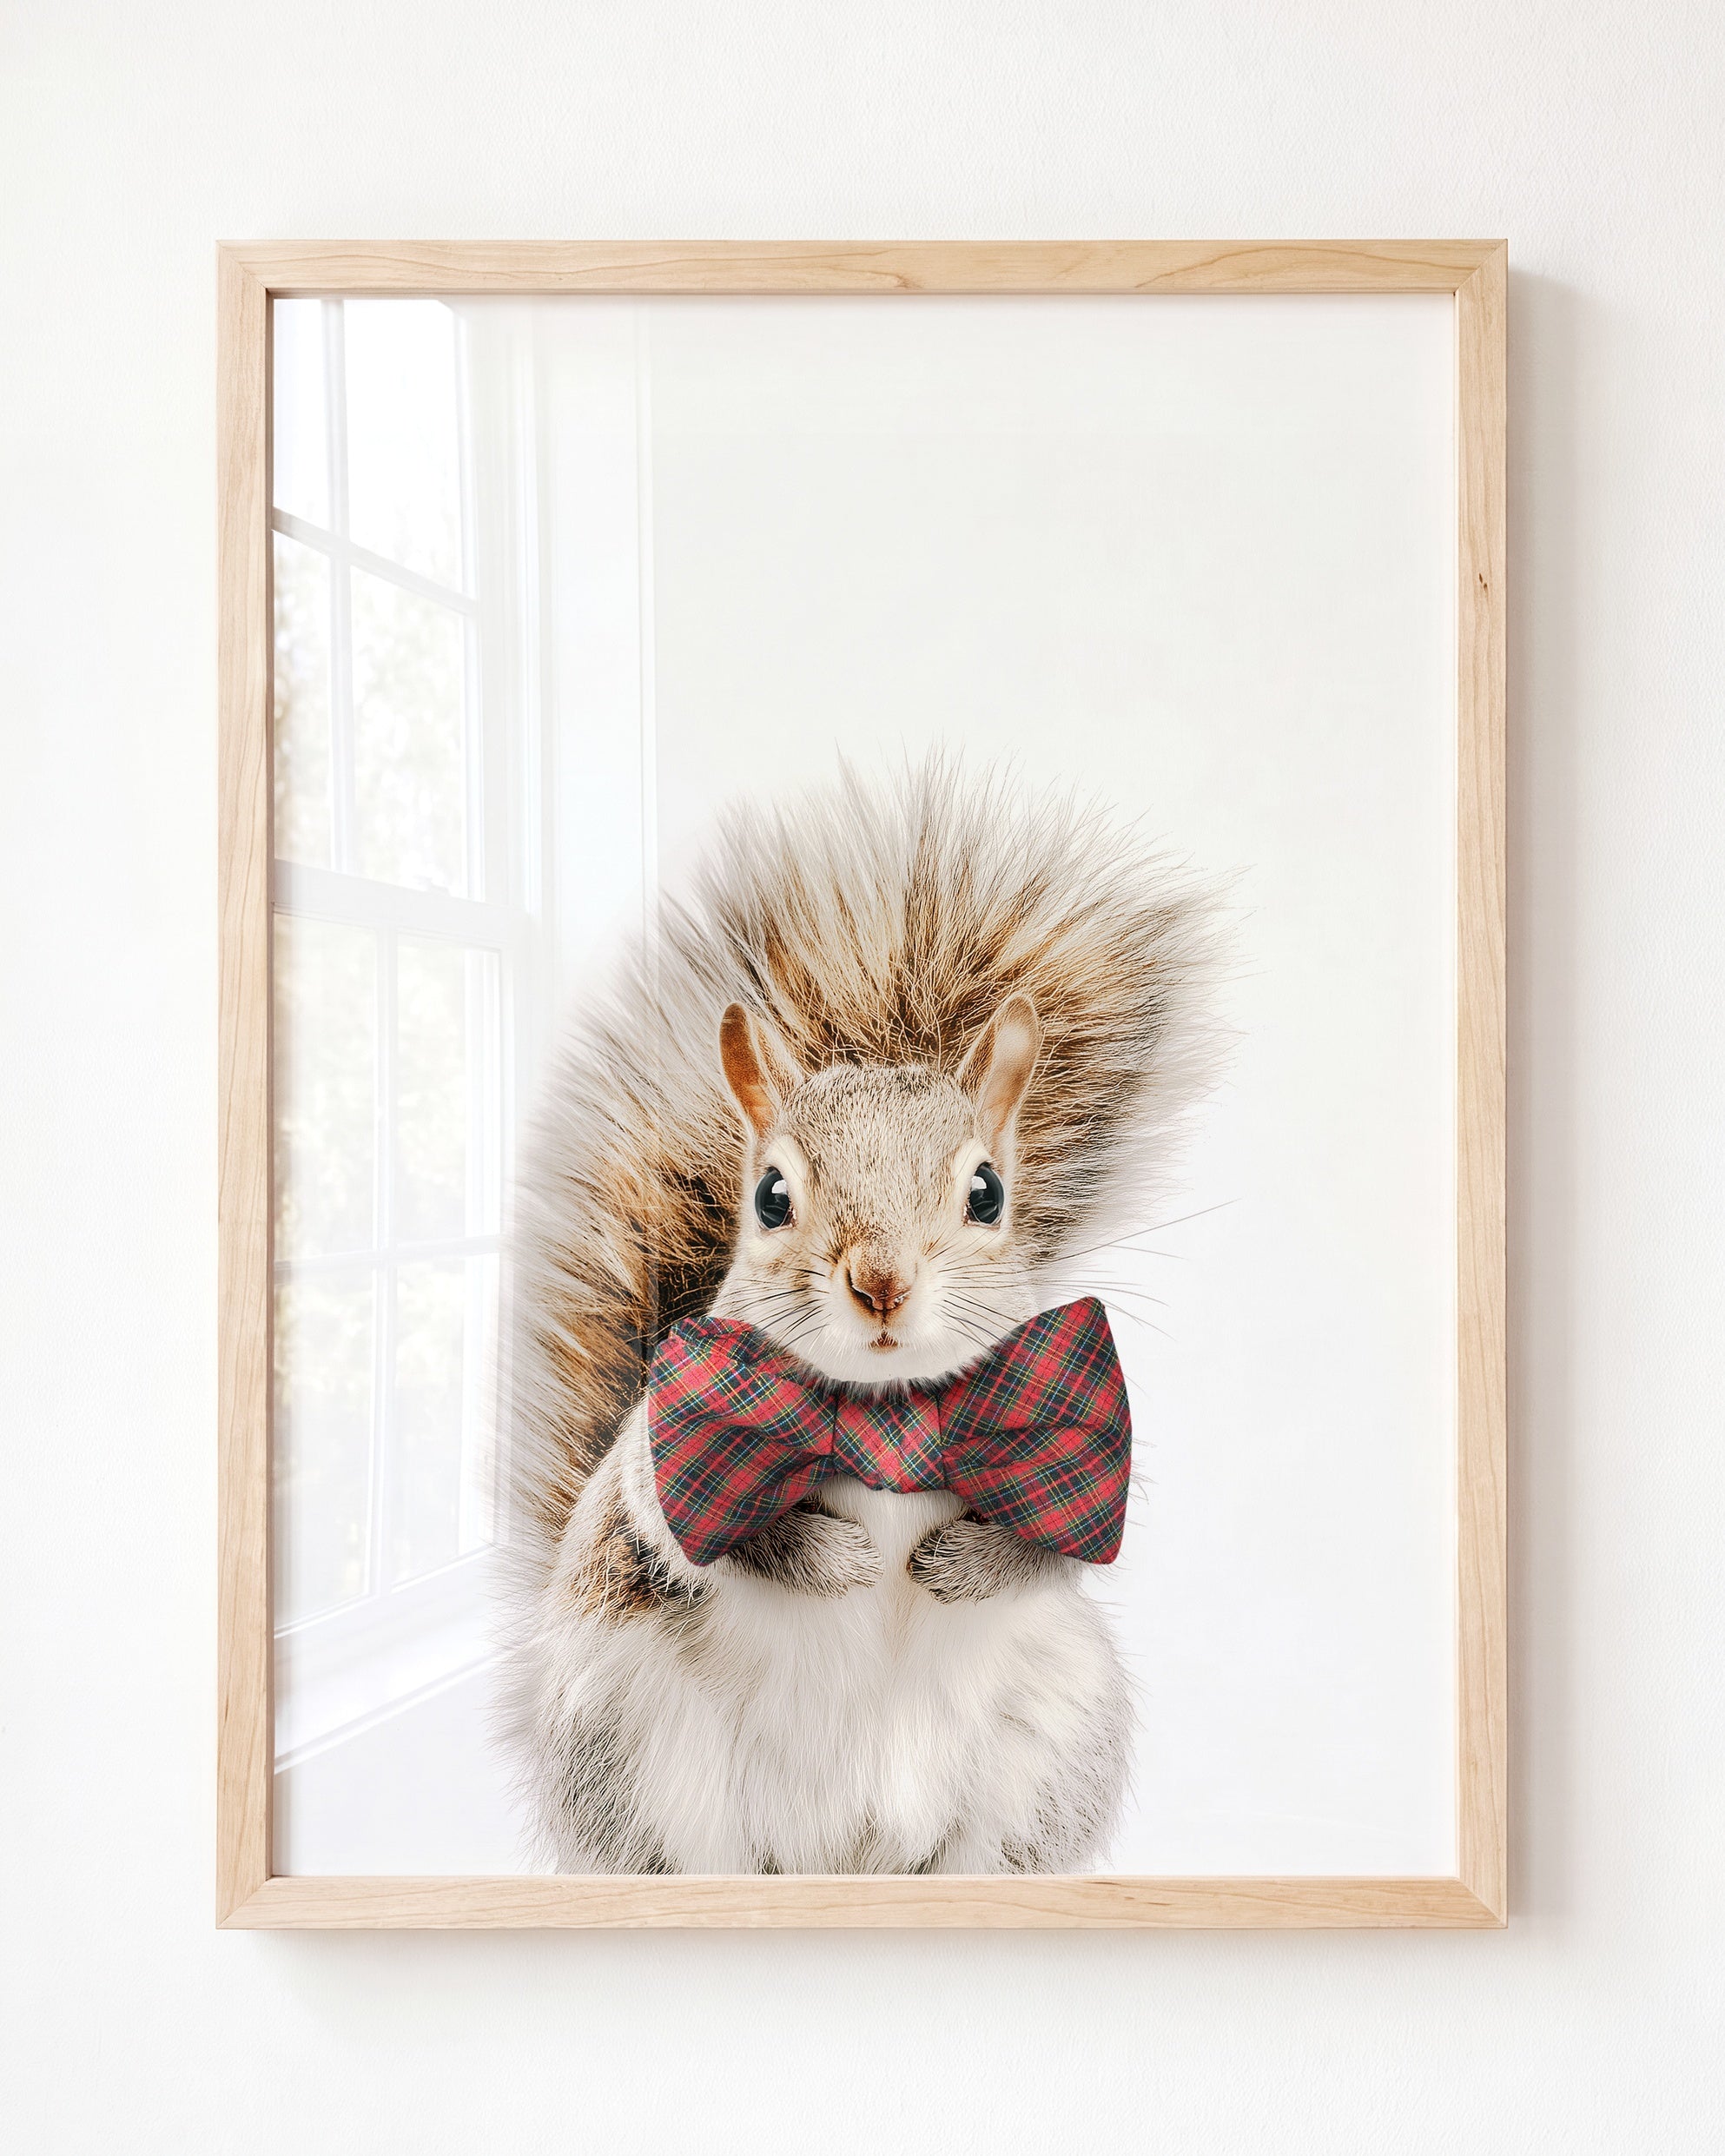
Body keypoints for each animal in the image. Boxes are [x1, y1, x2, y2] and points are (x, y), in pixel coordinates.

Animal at [495, 759, 1220, 1874]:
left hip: (1044, 1752)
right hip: (642, 1758)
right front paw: (830, 1557)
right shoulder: (663, 1456)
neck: (885, 1416)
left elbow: (1059, 1539)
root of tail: (847, 1854)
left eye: (987, 1193)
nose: (880, 1280)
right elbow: (701, 1526)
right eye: (770, 1197)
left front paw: (962, 1564)